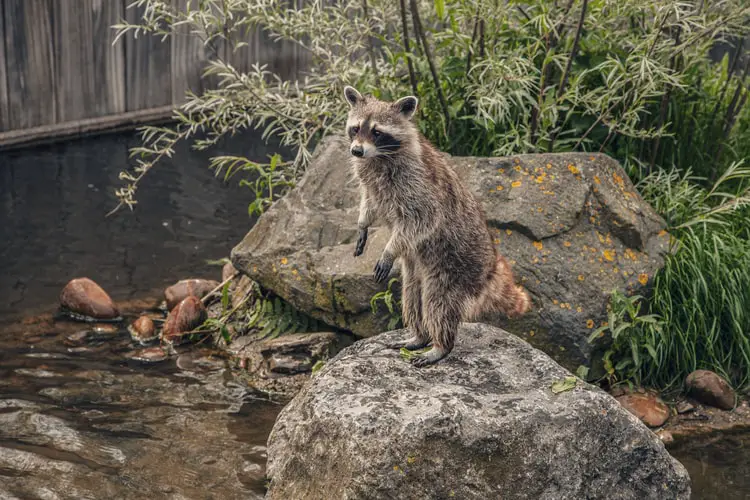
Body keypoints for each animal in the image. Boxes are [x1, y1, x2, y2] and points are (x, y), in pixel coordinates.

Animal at [344, 86, 530, 366]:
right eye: (355, 128)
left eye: (377, 132)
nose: (356, 151)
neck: (379, 156)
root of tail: (491, 268)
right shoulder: (372, 181)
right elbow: (370, 202)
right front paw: (362, 223)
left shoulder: (416, 183)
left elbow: (423, 218)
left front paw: (389, 249)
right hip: (417, 268)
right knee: (412, 295)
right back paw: (419, 335)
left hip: (454, 267)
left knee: (438, 302)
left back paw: (441, 345)